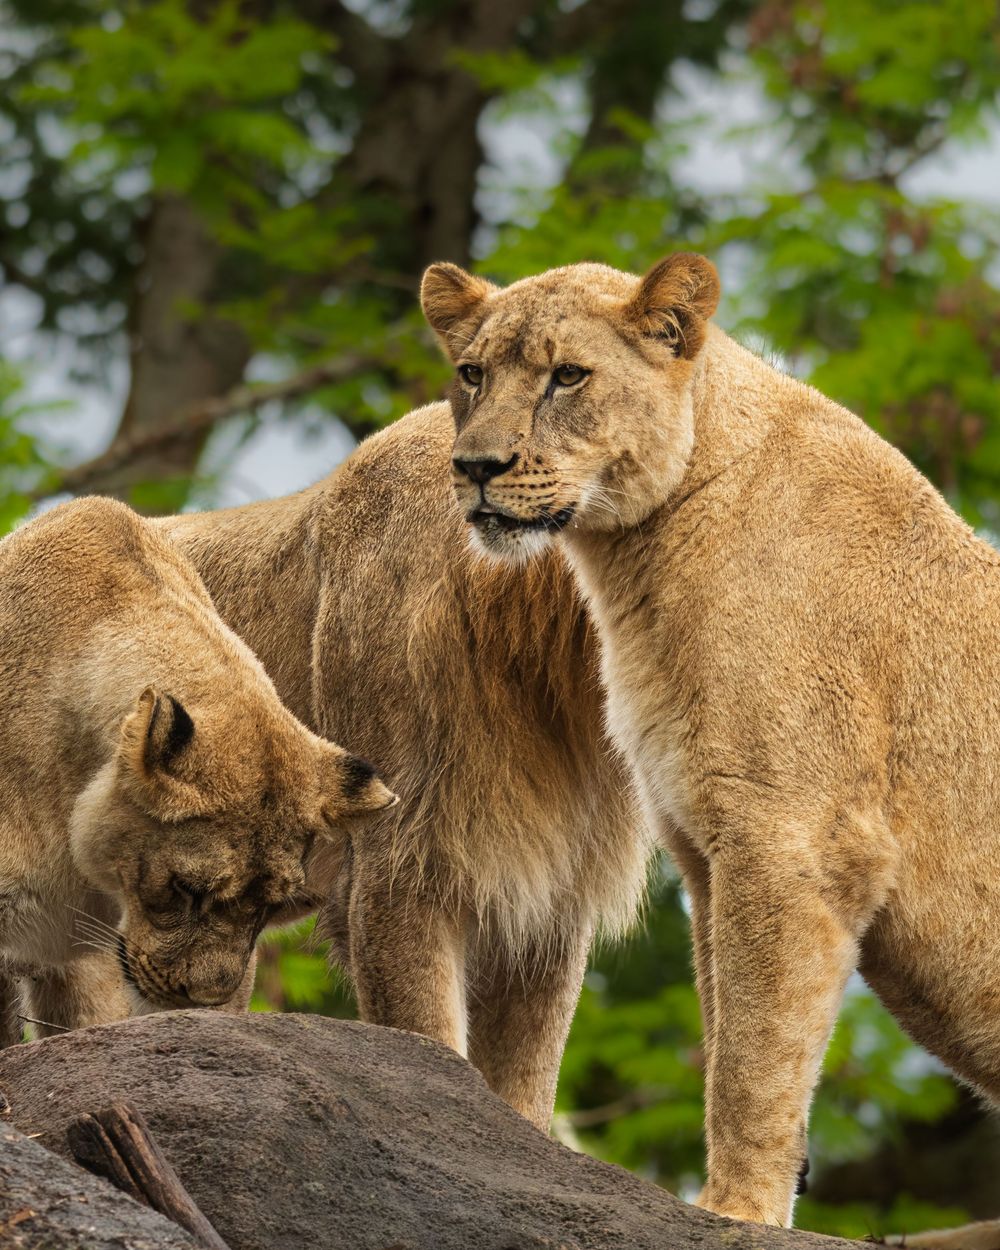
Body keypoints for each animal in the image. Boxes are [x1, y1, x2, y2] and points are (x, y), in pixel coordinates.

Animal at [420, 252, 1000, 1249]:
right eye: (472, 374)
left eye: (567, 376)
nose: (475, 468)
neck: (634, 568)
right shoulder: (704, 844)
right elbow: (727, 1027)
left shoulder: (794, 842)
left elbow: (756, 1057)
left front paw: (736, 1211)